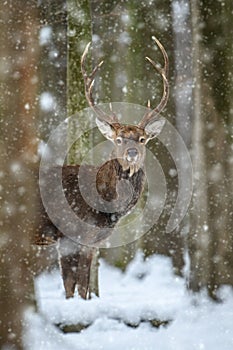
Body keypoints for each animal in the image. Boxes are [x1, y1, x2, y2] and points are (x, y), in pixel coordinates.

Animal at [34, 37, 168, 298]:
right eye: (119, 139)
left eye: (142, 139)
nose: (132, 153)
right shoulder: (70, 235)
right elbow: (74, 287)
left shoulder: (92, 242)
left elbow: (80, 287)